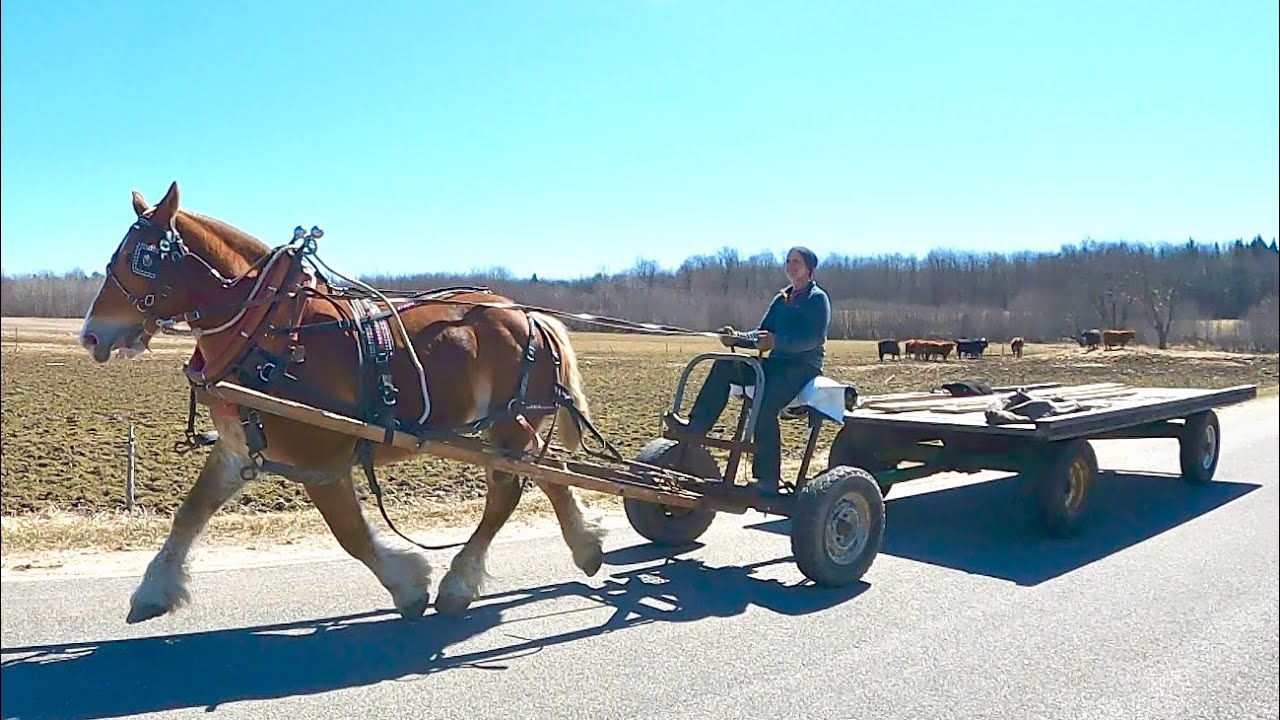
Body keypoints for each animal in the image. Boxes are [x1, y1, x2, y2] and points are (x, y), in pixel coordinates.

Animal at [79, 181, 606, 623]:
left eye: (141, 258)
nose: (90, 335)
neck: (267, 328)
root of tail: (531, 316)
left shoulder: (321, 462)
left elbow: (350, 533)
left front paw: (409, 587)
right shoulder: (234, 448)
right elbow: (190, 513)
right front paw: (154, 589)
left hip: (509, 427)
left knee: (509, 491)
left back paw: (461, 581)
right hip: (512, 430)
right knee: (550, 473)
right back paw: (584, 547)